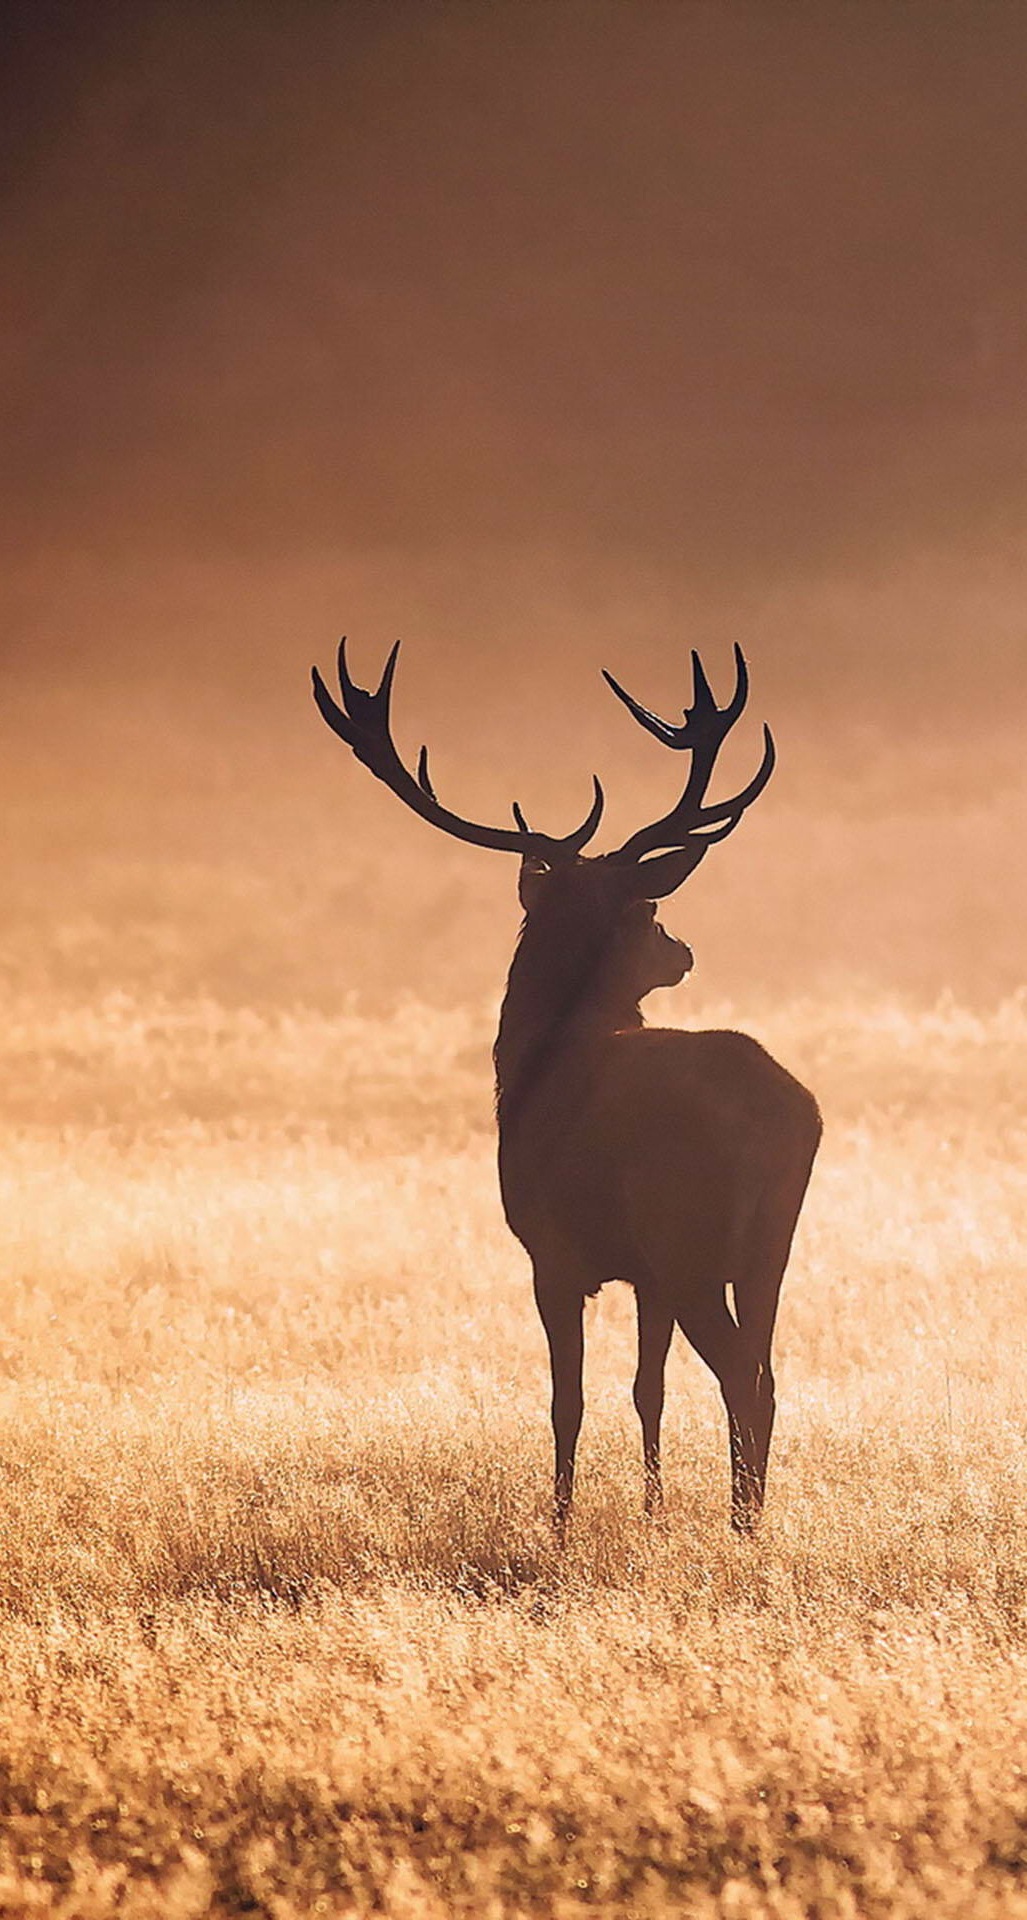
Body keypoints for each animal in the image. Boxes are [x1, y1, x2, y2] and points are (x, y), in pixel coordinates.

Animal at [309, 637, 825, 1536]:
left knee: (740, 1375)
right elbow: (647, 1390)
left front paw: (557, 1527)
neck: (530, 1066)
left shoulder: (551, 1251)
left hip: (689, 1238)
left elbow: (566, 1400)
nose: (682, 951)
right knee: (765, 1372)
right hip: (769, 1243)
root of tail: (787, 1112)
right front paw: (651, 1513)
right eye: (649, 912)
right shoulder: (643, 1274)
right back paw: (750, 1519)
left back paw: (741, 1527)